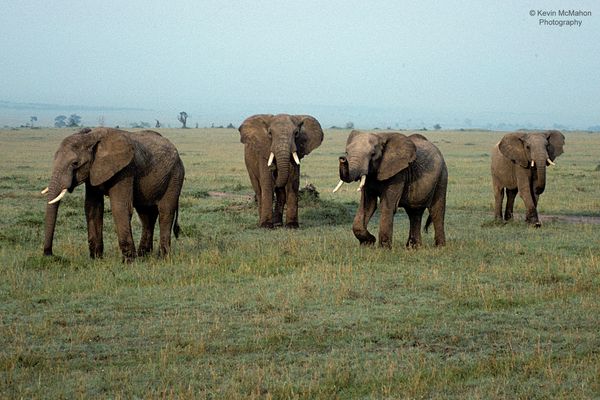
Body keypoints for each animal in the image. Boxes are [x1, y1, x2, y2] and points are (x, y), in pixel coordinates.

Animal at [41, 126, 185, 260]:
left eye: (75, 163)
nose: (49, 254)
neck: (91, 137)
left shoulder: (125, 169)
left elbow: (120, 207)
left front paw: (129, 262)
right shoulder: (93, 171)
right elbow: (93, 207)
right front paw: (96, 259)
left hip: (175, 176)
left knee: (165, 212)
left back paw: (163, 257)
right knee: (146, 214)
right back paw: (143, 256)